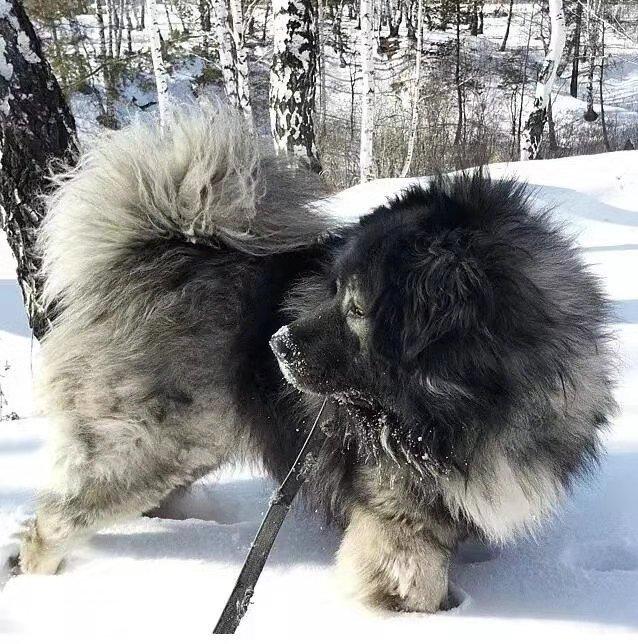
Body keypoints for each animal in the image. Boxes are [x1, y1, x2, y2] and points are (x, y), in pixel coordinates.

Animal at [20, 107, 616, 612]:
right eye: (333, 290)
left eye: (353, 307)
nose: (277, 345)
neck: (469, 405)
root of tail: (153, 251)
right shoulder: (398, 520)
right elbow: (412, 585)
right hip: (147, 447)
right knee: (51, 523)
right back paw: (42, 584)